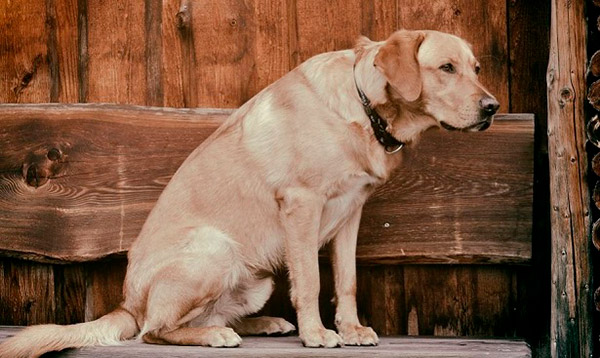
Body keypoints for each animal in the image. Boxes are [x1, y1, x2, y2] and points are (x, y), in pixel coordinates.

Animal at [0, 29, 496, 356]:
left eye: (475, 69)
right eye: (446, 68)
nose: (492, 107)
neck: (364, 105)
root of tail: (127, 303)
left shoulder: (350, 213)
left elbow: (347, 281)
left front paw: (351, 329)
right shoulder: (302, 204)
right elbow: (311, 282)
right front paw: (318, 334)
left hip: (256, 278)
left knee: (206, 315)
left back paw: (262, 322)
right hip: (214, 249)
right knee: (155, 330)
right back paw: (214, 336)